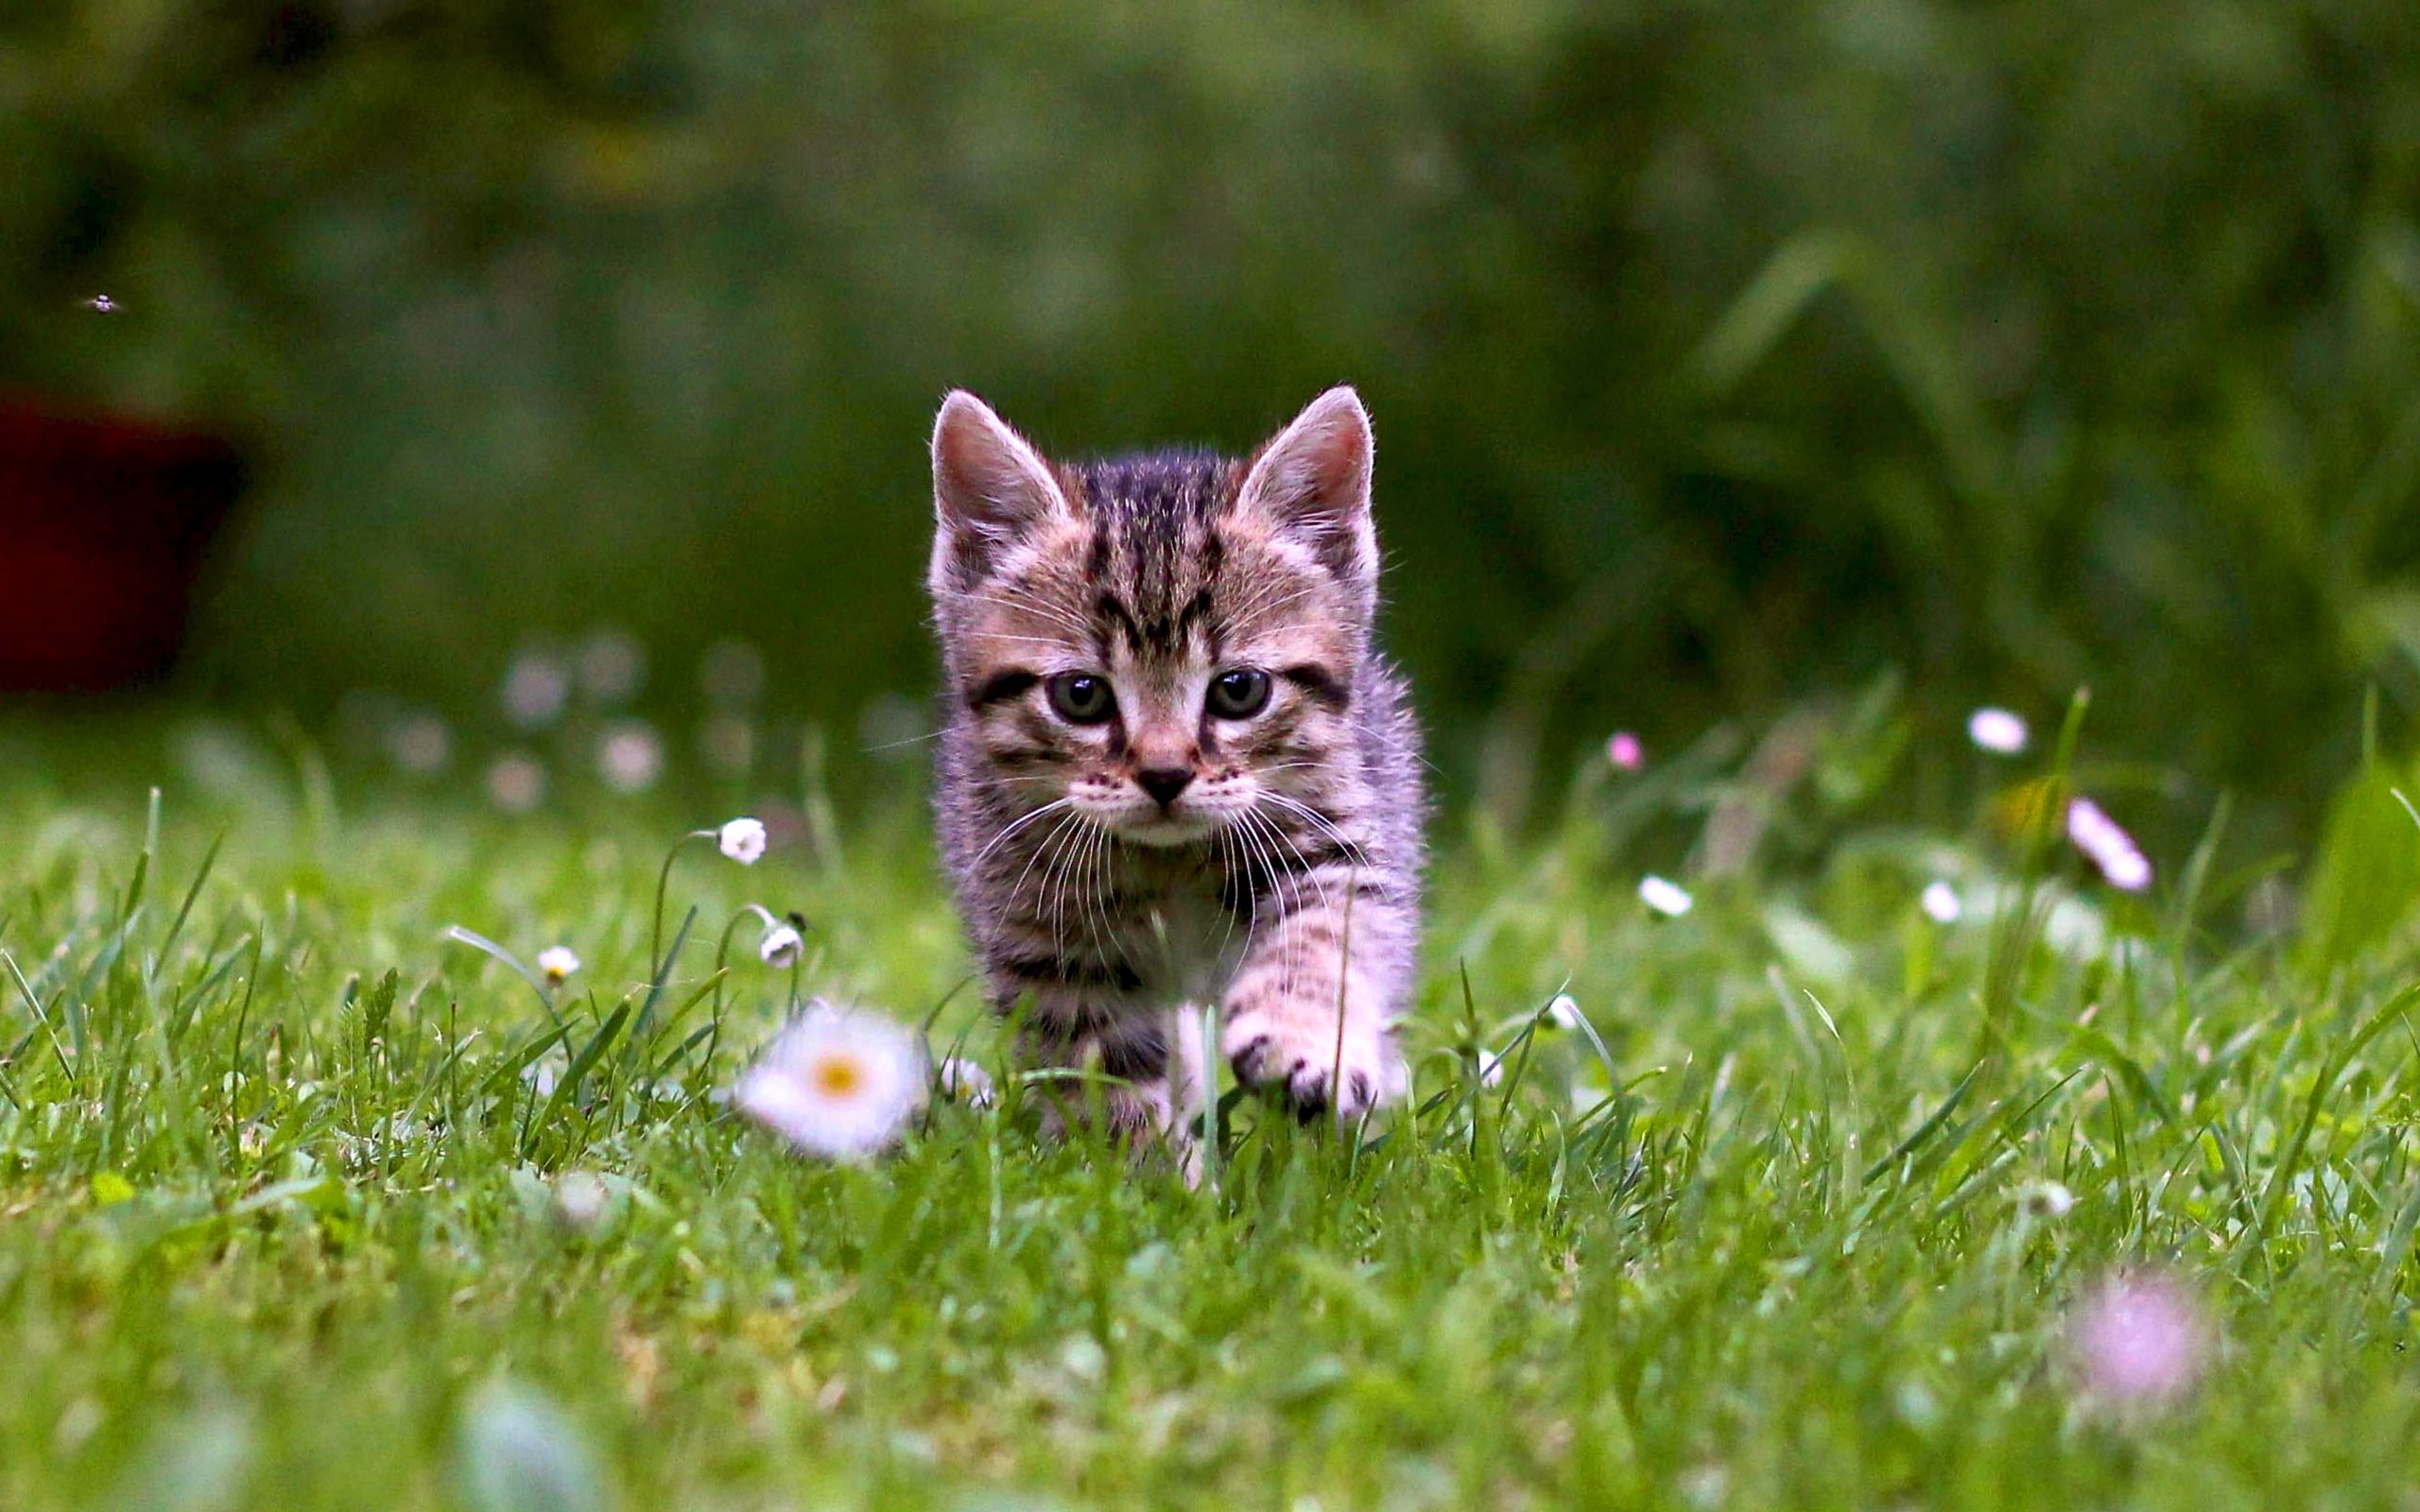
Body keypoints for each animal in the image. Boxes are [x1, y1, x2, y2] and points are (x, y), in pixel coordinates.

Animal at [919, 382, 1413, 1137]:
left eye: (1240, 691)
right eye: (1081, 696)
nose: (1164, 776)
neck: (1170, 864)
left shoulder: (1335, 842)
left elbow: (1325, 940)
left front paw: (1300, 1041)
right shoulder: (1048, 941)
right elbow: (1104, 1076)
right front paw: (1141, 1165)